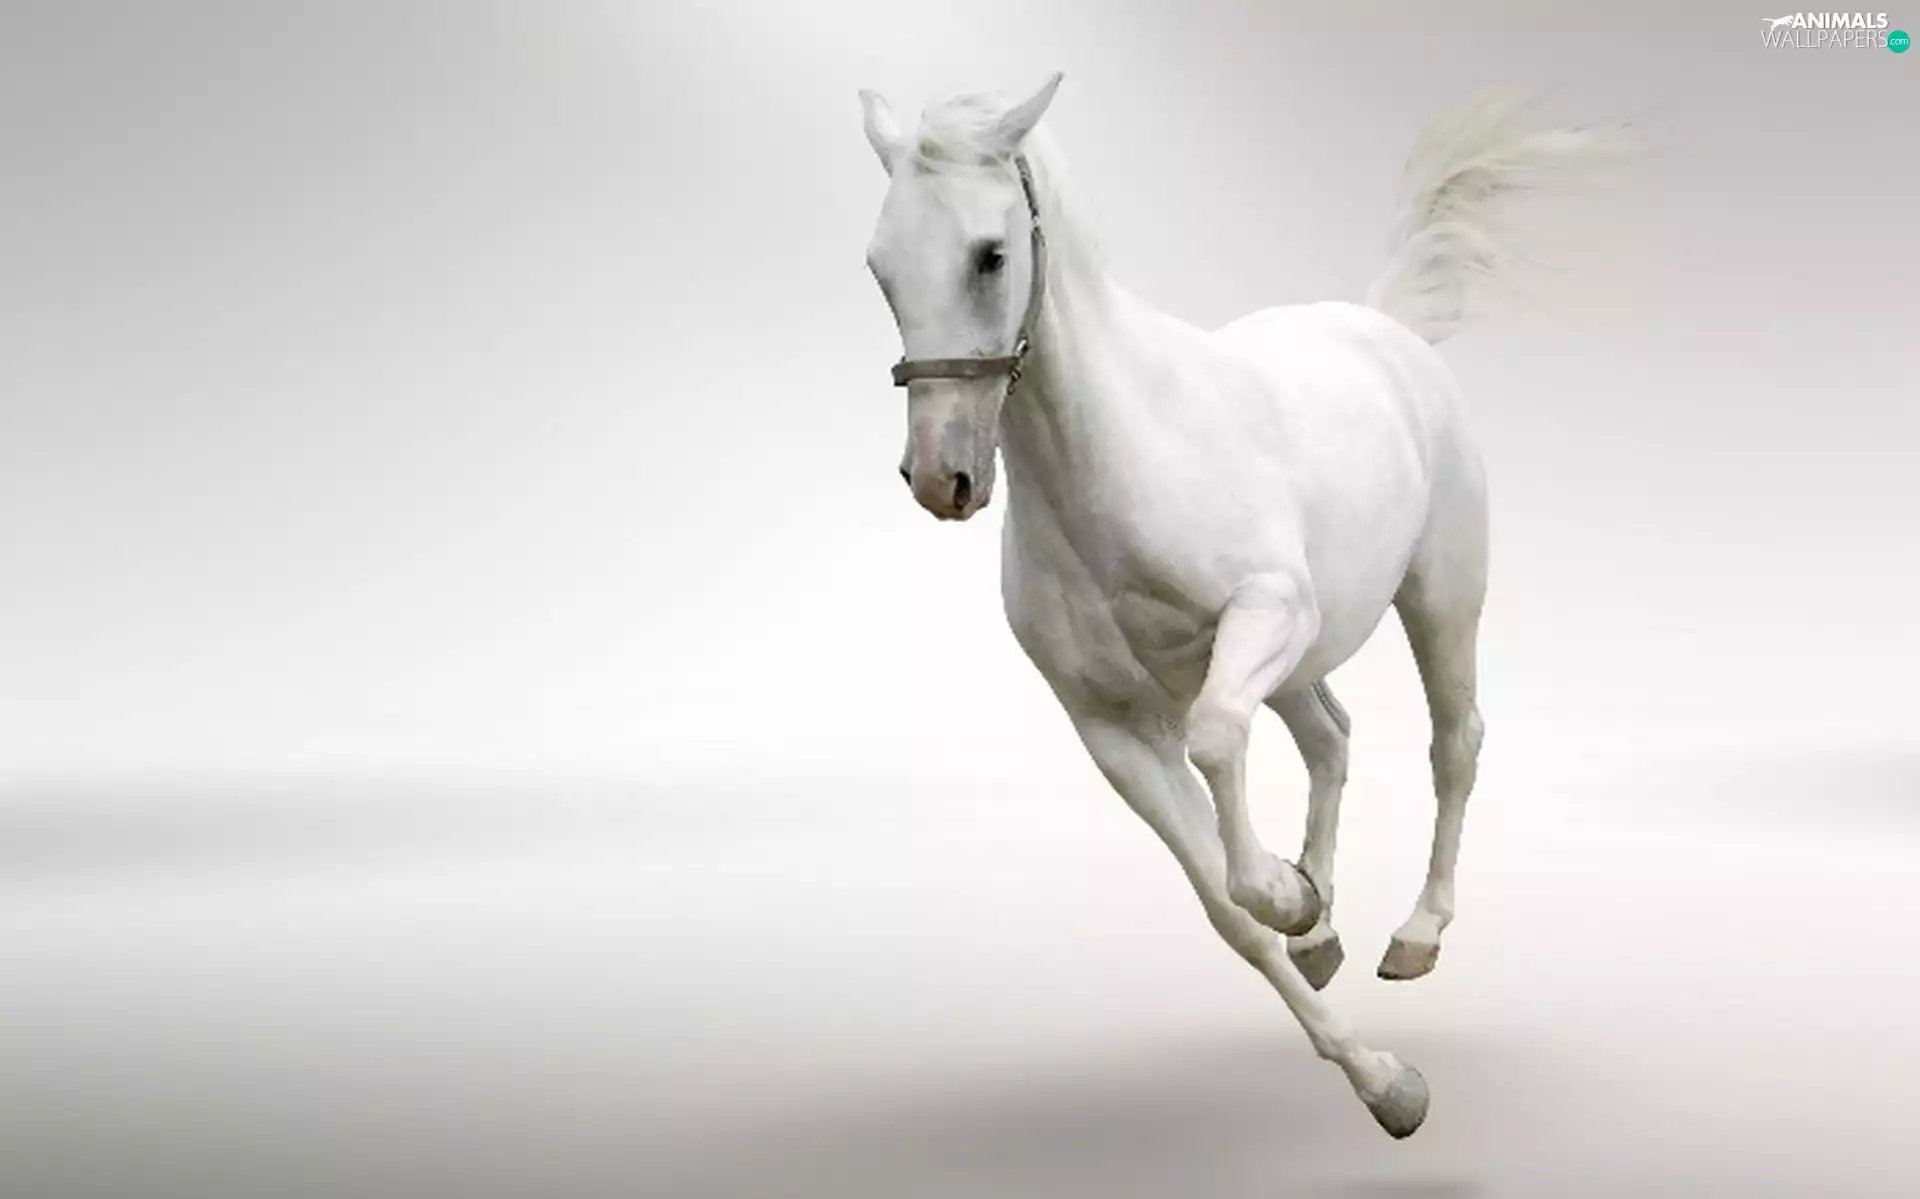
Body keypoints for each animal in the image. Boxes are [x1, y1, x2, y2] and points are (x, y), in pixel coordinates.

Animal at [857, 73, 1630, 1139]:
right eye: (880, 267)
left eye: (990, 254)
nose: (941, 479)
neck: (1122, 459)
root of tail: (1383, 326)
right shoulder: (1110, 728)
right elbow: (1227, 911)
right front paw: (1382, 1073)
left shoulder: (1265, 615)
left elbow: (1220, 744)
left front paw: (1293, 902)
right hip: (1306, 659)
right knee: (1333, 737)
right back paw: (1327, 927)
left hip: (1437, 595)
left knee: (1454, 743)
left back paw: (1414, 933)